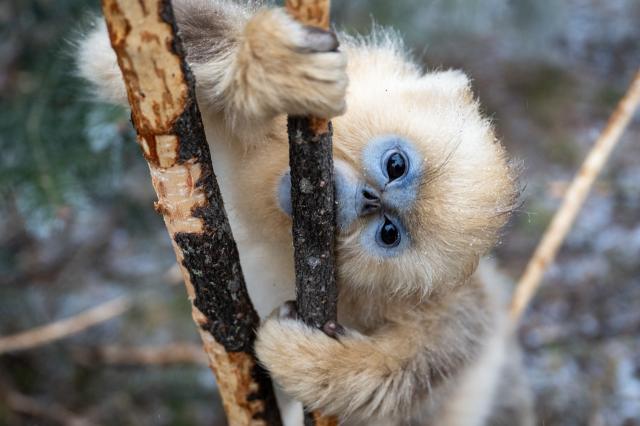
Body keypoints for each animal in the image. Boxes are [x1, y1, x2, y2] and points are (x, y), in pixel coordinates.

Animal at [77, 1, 535, 424]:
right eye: (396, 165)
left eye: (388, 232)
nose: (367, 198)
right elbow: (123, 60)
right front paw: (273, 67)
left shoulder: (460, 310)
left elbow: (410, 378)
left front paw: (307, 360)